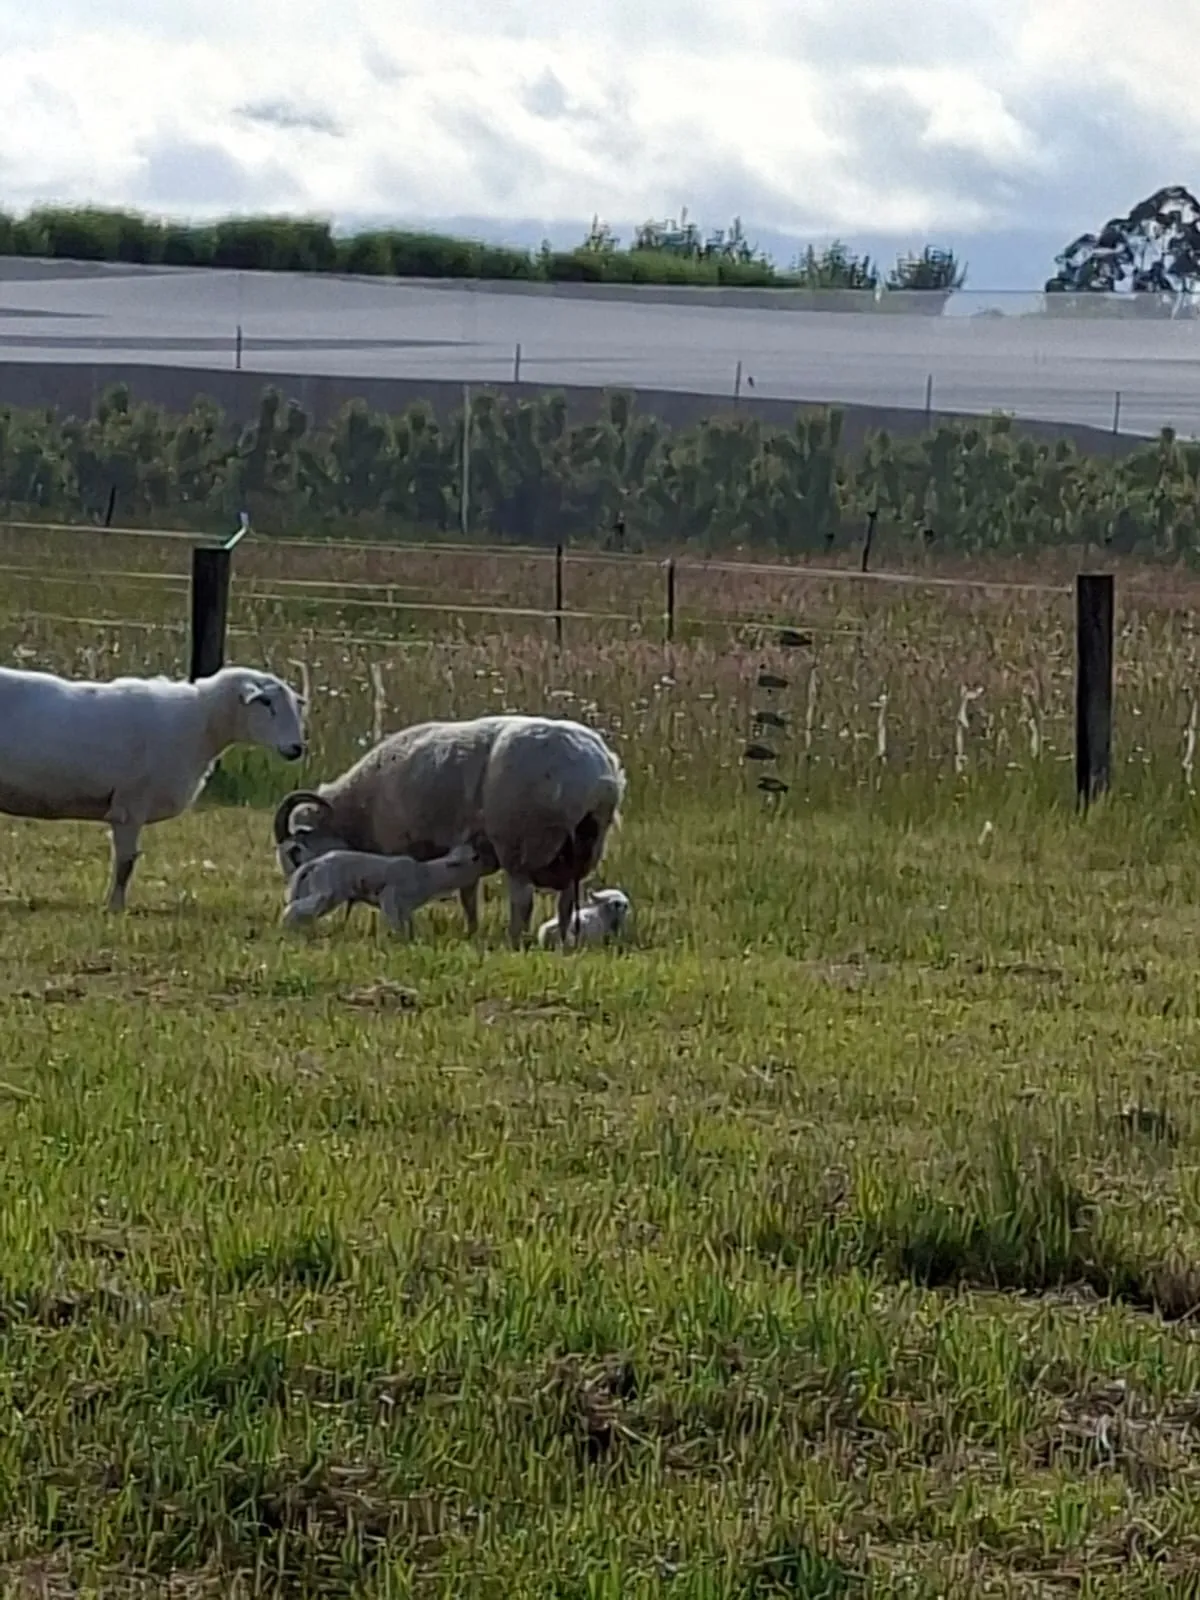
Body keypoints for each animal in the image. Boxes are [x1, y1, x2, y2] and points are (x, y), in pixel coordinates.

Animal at [0, 662, 306, 911]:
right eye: (265, 702)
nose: (297, 748)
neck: (201, 724)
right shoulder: (131, 803)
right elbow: (126, 863)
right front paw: (115, 908)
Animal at [282, 841, 484, 936]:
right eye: (474, 858)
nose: (484, 861)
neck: (426, 874)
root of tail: (314, 863)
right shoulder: (390, 897)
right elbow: (397, 925)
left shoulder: (406, 908)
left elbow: (408, 925)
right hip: (326, 892)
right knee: (293, 909)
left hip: (312, 890)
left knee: (303, 912)